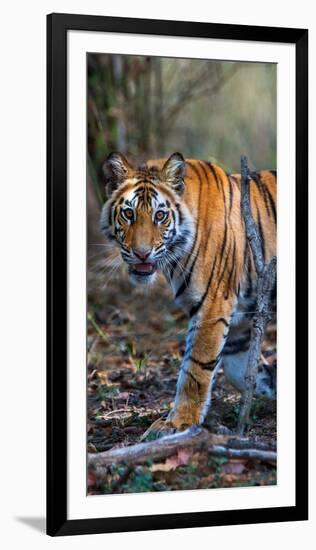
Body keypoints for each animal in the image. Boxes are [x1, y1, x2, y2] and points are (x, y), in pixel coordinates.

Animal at [100, 152, 276, 440]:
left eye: (160, 215)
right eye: (128, 213)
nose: (141, 253)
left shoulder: (213, 306)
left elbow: (195, 369)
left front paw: (178, 423)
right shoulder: (239, 320)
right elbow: (241, 371)